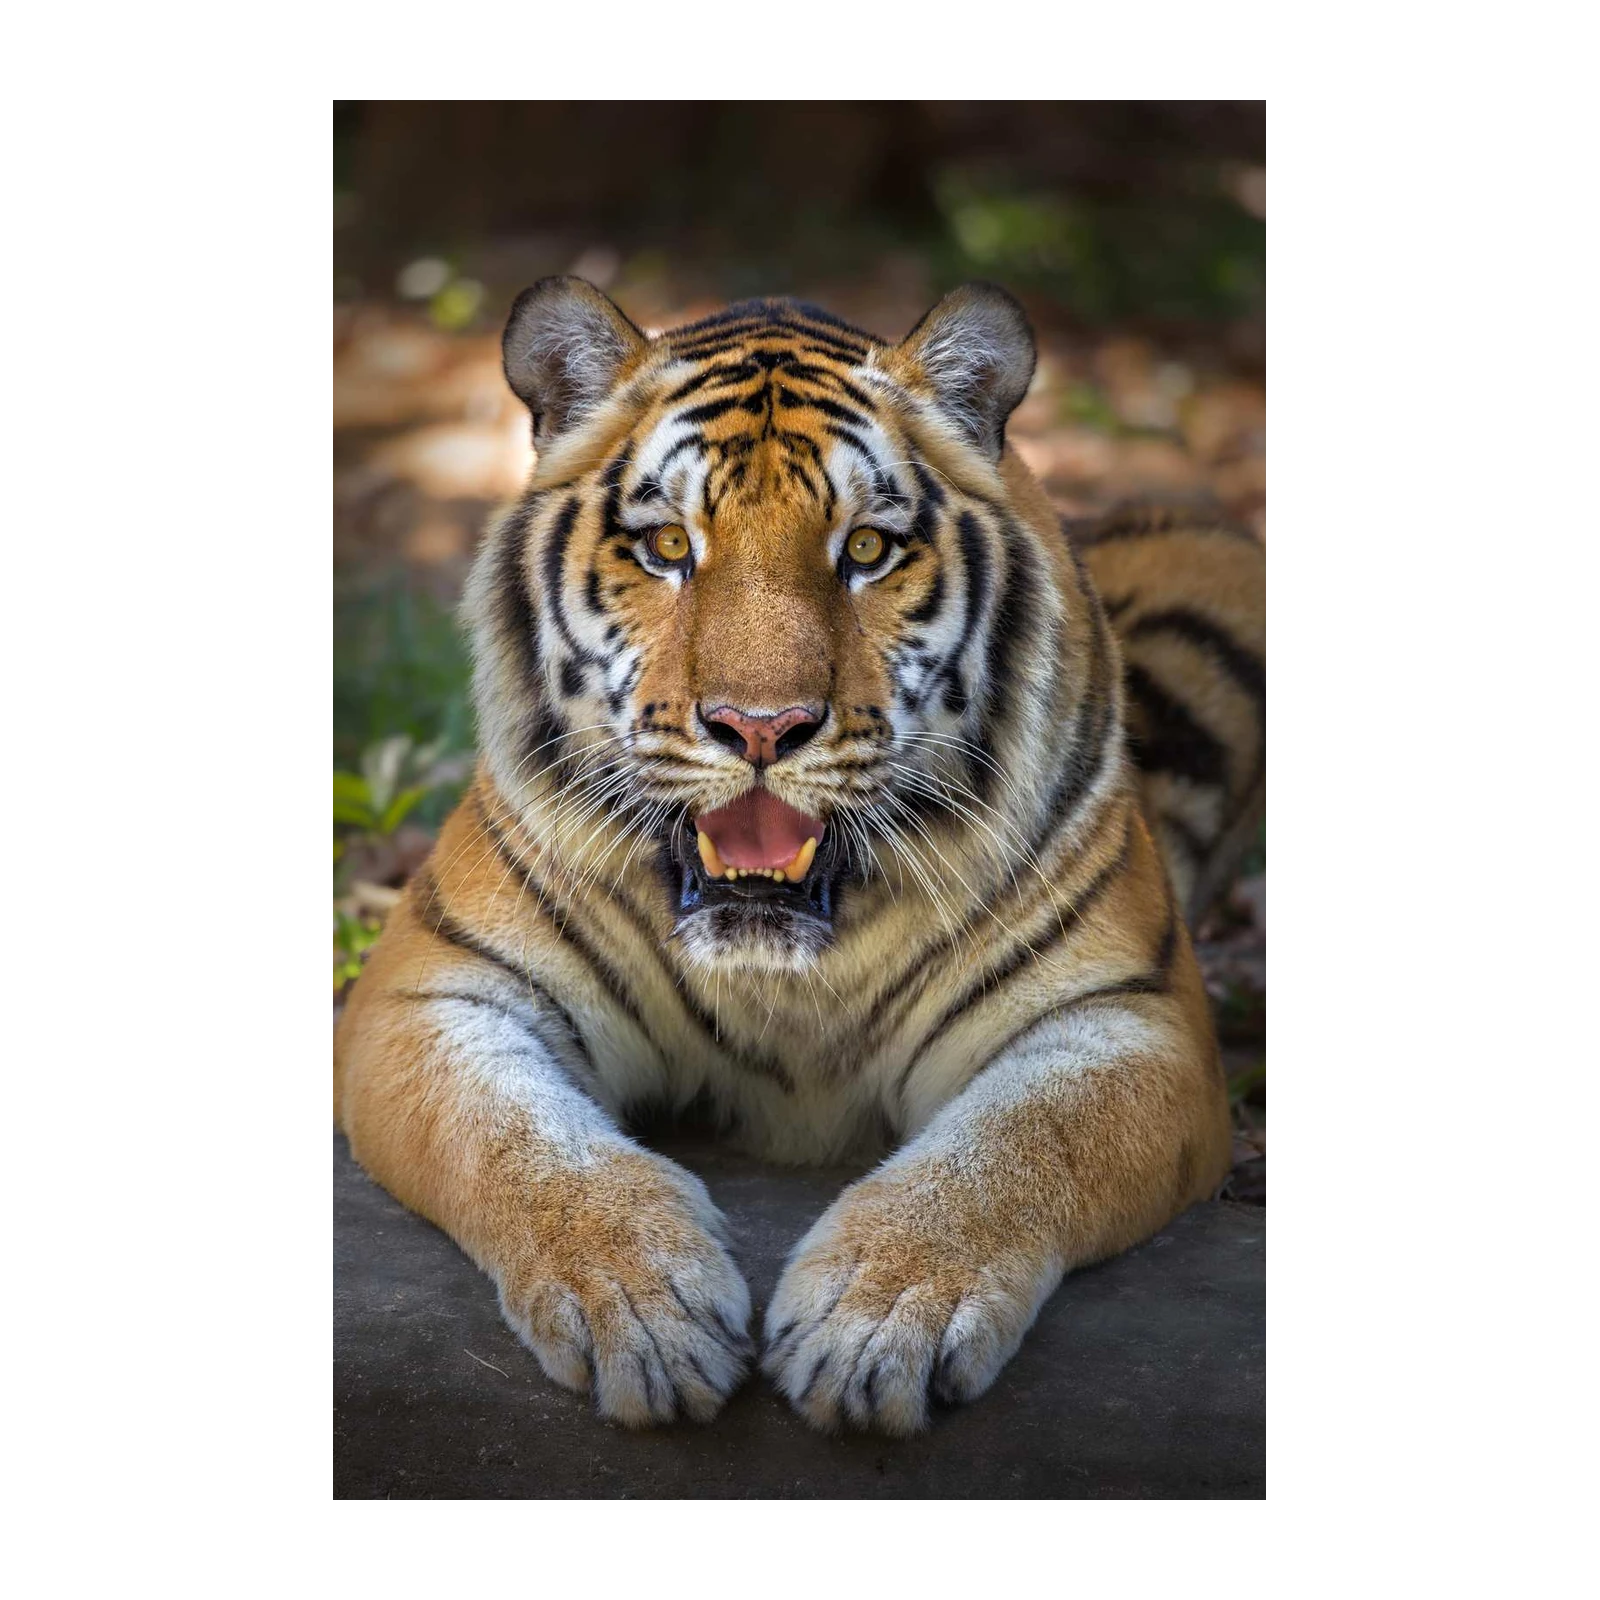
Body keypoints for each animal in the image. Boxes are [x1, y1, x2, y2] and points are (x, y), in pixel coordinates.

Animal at [330, 277, 1270, 1437]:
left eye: (865, 551)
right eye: (667, 546)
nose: (761, 726)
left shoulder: (1128, 1019)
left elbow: (1014, 1150)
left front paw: (877, 1319)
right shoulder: (435, 992)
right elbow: (518, 1143)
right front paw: (643, 1306)